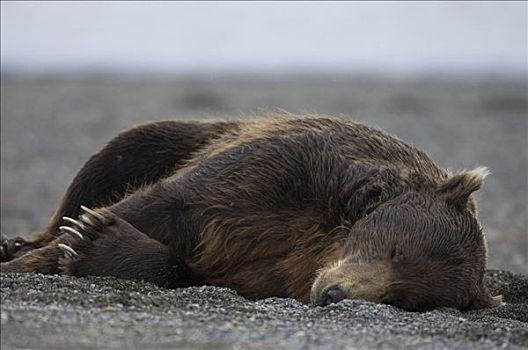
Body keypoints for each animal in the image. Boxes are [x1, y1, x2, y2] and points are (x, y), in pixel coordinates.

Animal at [1, 113, 504, 310]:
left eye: (401, 299)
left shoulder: (270, 270)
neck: (322, 243)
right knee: (114, 158)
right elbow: (170, 203)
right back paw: (19, 243)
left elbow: (192, 269)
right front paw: (39, 257)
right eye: (394, 248)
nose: (334, 293)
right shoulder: (293, 174)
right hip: (180, 137)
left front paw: (96, 239)